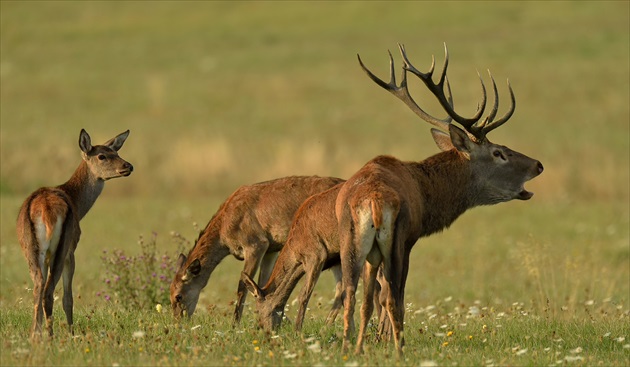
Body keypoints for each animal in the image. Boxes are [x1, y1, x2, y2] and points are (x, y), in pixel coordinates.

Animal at [17, 129, 133, 340]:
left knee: (38, 287)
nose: (128, 166)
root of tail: (45, 210)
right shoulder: (72, 250)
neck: (76, 201)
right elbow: (68, 297)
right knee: (49, 292)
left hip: (31, 249)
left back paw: (35, 336)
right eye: (102, 156)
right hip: (62, 248)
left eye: (116, 152)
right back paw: (52, 337)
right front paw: (71, 333)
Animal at [169, 175, 346, 322]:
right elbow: (263, 284)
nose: (179, 322)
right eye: (169, 293)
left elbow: (242, 286)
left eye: (178, 296)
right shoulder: (271, 250)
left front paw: (235, 324)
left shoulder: (255, 244)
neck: (224, 230)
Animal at [338, 43, 544, 356]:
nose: (538, 164)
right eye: (498, 152)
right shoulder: (410, 239)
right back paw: (400, 351)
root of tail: (372, 201)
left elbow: (369, 299)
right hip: (394, 239)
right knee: (393, 297)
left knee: (352, 294)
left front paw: (366, 346)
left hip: (351, 243)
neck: (427, 196)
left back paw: (350, 347)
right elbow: (393, 297)